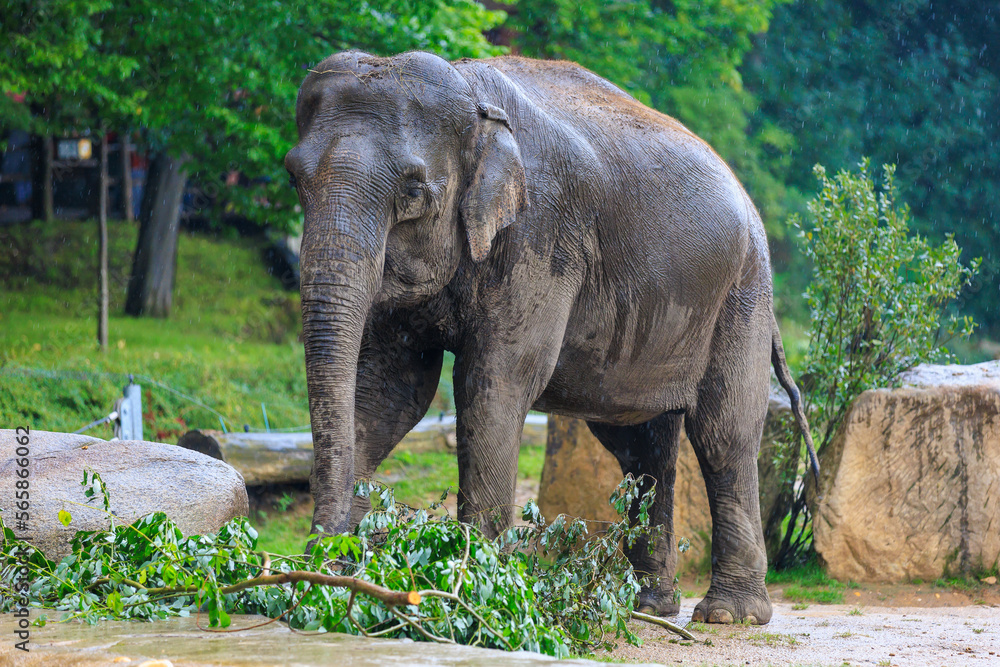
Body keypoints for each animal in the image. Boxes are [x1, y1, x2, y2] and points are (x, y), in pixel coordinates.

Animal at [285, 50, 817, 625]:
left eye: (413, 191)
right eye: (294, 178)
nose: (322, 564)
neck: (473, 99)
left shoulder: (542, 238)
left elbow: (493, 384)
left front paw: (478, 597)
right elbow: (391, 392)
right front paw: (329, 587)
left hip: (743, 294)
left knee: (725, 434)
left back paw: (727, 615)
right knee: (640, 446)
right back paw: (648, 605)